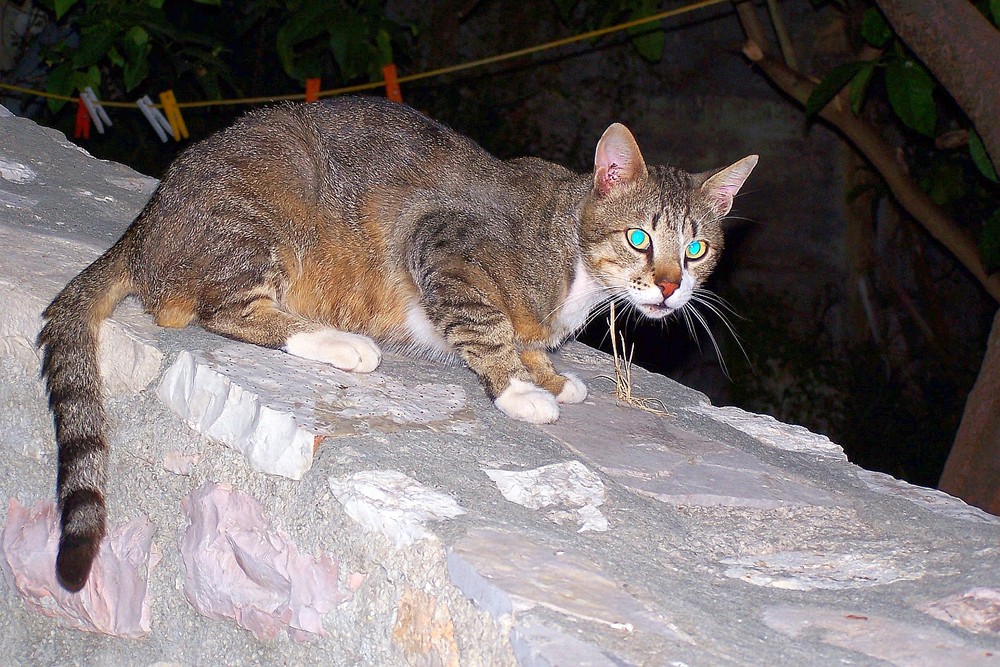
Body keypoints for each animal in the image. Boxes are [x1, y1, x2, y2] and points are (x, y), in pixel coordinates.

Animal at [39, 94, 756, 588]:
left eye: (695, 250)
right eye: (639, 238)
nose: (669, 287)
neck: (568, 251)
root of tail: (148, 220)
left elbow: (528, 340)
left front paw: (551, 374)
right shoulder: (442, 244)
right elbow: (488, 327)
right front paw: (520, 389)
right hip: (258, 217)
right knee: (222, 310)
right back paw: (338, 342)